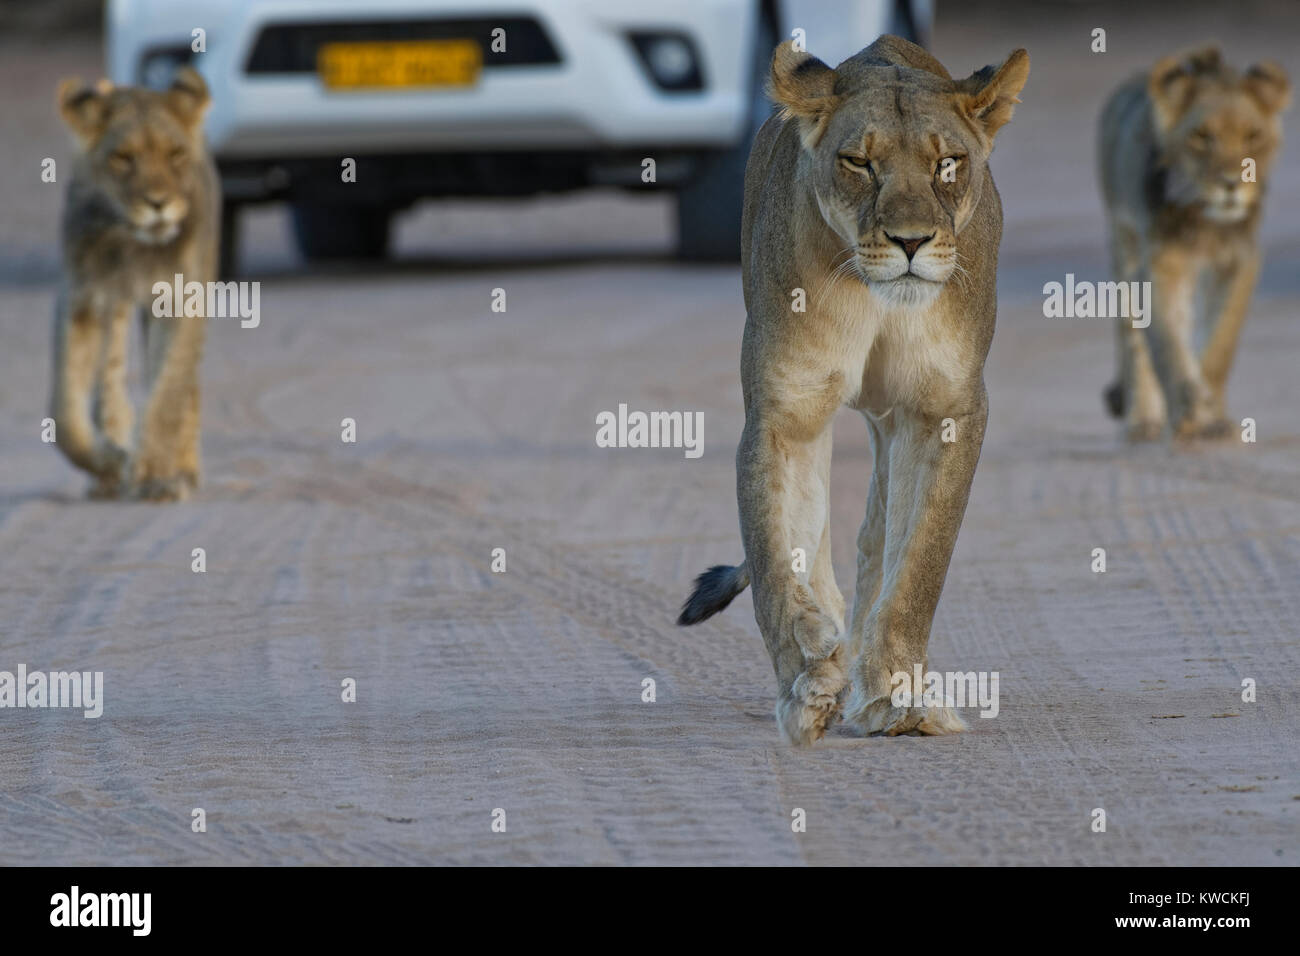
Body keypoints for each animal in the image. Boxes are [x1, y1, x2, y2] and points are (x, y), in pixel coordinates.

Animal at [50, 69, 218, 502]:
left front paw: (158, 475)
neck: (130, 242)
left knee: (186, 388)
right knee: (109, 389)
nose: (158, 203)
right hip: (116, 312)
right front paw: (110, 462)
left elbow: (169, 392)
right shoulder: (81, 299)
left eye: (175, 154)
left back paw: (183, 469)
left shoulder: (181, 299)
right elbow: (64, 413)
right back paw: (109, 474)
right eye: (123, 158)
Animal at [681, 35, 1024, 749]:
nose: (911, 242)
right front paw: (809, 680)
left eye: (947, 163)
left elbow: (917, 565)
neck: (876, 302)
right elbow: (778, 563)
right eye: (859, 163)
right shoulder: (785, 410)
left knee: (875, 539)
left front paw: (900, 698)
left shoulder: (944, 410)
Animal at [1097, 48, 1289, 442]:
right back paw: (1143, 419)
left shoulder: (1240, 259)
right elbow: (1169, 343)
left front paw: (1213, 417)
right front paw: (1188, 414)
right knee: (1134, 339)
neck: (1205, 219)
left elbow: (1220, 344)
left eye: (1253, 136)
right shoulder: (1159, 264)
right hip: (1124, 240)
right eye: (1202, 136)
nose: (1231, 184)